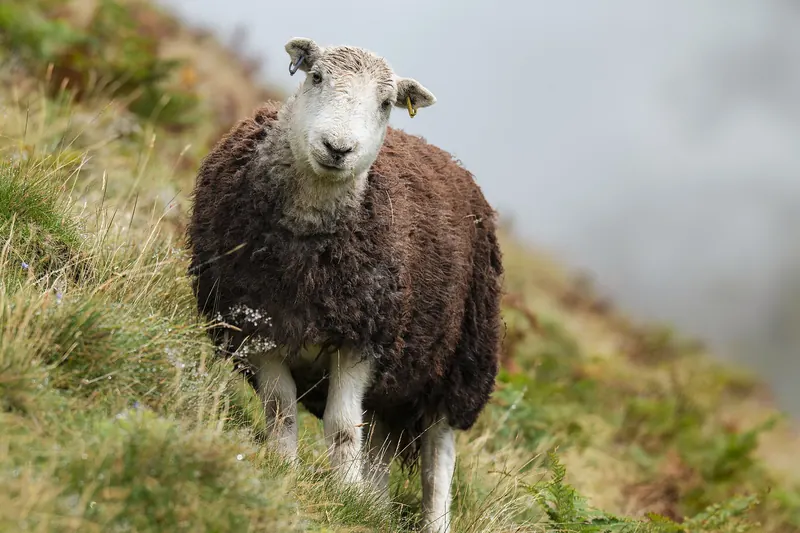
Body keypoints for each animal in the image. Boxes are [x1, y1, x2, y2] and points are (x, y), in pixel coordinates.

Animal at [186, 37, 504, 533]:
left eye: (387, 103)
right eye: (316, 77)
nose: (338, 148)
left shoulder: (363, 340)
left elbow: (339, 426)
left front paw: (342, 495)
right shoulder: (257, 325)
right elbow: (280, 409)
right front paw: (285, 468)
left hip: (459, 364)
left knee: (438, 460)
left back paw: (426, 516)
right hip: (396, 381)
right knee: (378, 442)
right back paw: (374, 504)